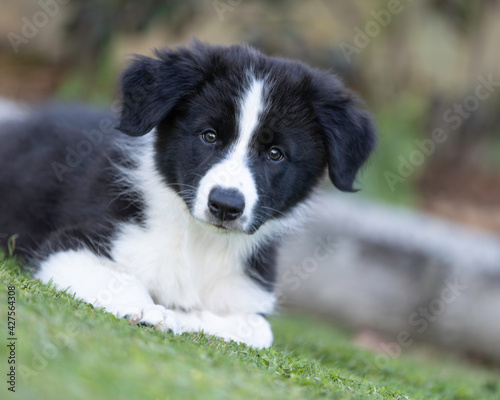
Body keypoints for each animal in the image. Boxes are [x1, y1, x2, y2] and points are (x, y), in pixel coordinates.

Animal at [0, 40, 376, 346]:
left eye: (275, 154)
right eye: (209, 136)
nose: (225, 205)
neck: (200, 243)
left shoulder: (248, 291)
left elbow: (258, 329)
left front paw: (184, 316)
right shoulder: (69, 245)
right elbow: (119, 279)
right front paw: (150, 310)